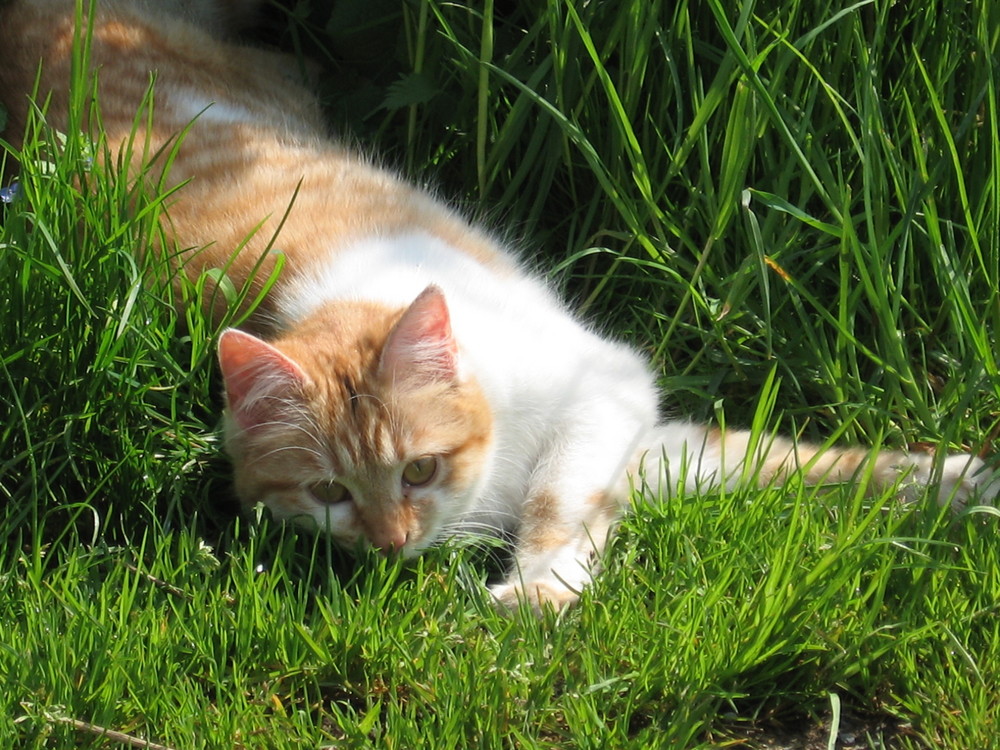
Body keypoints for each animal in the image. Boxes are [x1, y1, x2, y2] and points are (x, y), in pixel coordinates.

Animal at [3, 0, 996, 612]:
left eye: (419, 470)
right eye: (327, 494)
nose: (391, 543)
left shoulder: (609, 393)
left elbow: (764, 469)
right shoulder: (637, 435)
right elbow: (766, 467)